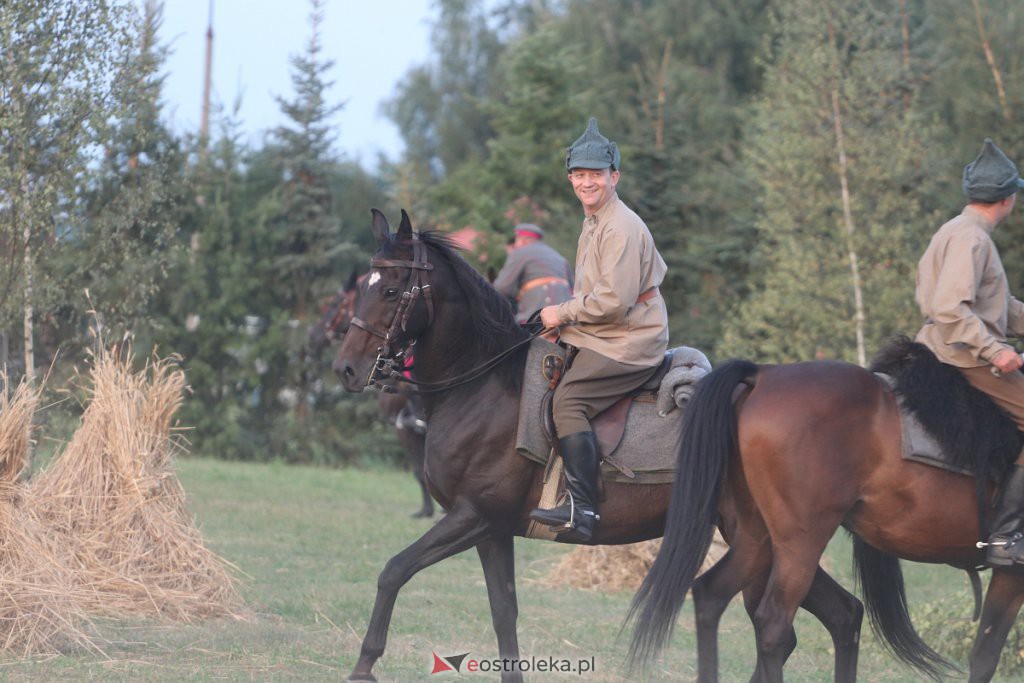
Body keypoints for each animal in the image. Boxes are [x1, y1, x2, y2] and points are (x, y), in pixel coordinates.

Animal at [335, 209, 872, 683]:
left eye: (389, 289)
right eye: (362, 288)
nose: (346, 369)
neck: (484, 386)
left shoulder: (473, 517)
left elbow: (393, 571)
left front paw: (365, 663)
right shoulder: (492, 530)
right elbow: (503, 611)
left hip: (765, 541)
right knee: (842, 614)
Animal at [622, 358, 1024, 683]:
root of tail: (762, 375)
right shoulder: (1012, 574)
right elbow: (985, 656)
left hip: (756, 536)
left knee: (713, 595)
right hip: (800, 542)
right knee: (775, 625)